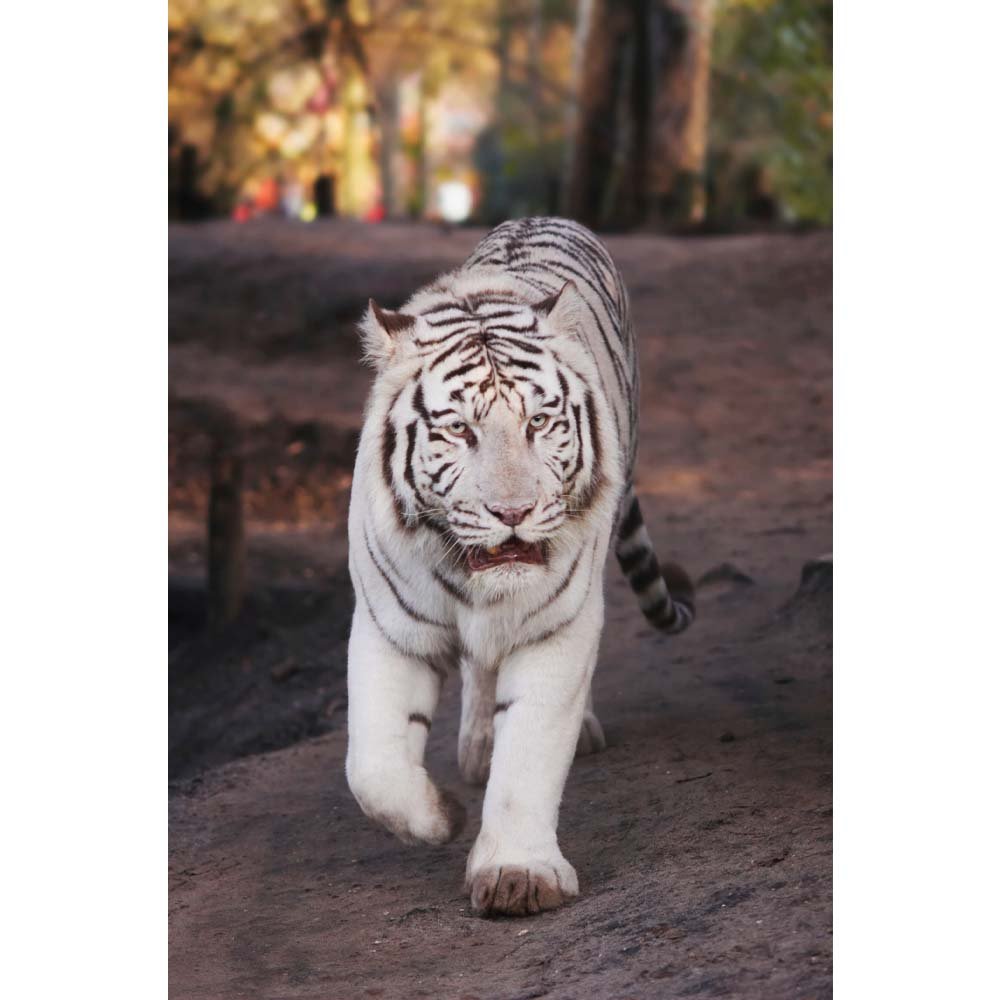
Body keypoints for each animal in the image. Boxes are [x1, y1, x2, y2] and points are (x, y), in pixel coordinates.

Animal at [345, 216, 695, 917]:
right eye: (458, 431)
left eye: (539, 422)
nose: (513, 512)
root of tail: (542, 217)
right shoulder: (388, 628)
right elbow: (371, 767)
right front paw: (441, 817)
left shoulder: (554, 629)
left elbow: (529, 754)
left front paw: (518, 874)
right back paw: (476, 751)